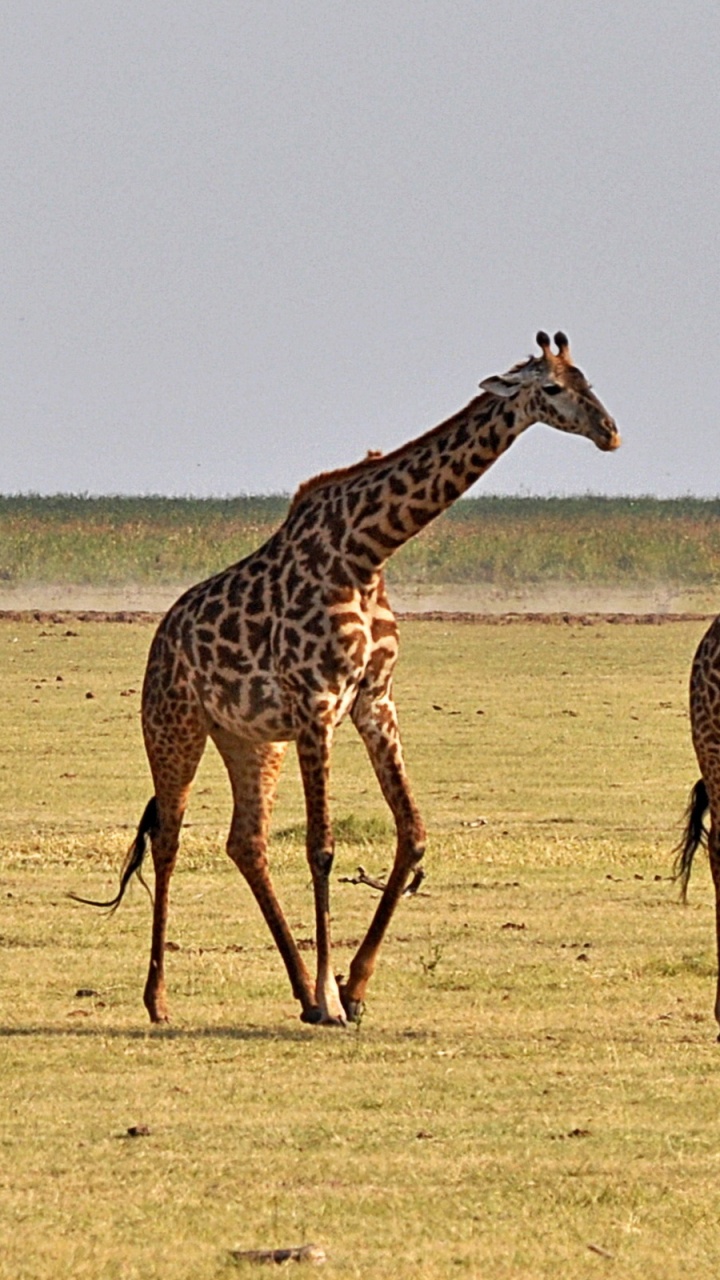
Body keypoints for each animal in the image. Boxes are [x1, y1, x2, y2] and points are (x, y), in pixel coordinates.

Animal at [72, 331, 620, 1026]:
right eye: (551, 387)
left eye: (587, 379)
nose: (610, 432)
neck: (366, 552)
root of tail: (162, 638)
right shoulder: (318, 703)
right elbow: (321, 847)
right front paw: (335, 998)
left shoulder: (374, 701)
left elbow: (412, 833)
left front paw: (352, 988)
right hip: (174, 726)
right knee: (169, 840)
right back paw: (160, 998)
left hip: (252, 740)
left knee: (245, 842)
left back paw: (302, 991)